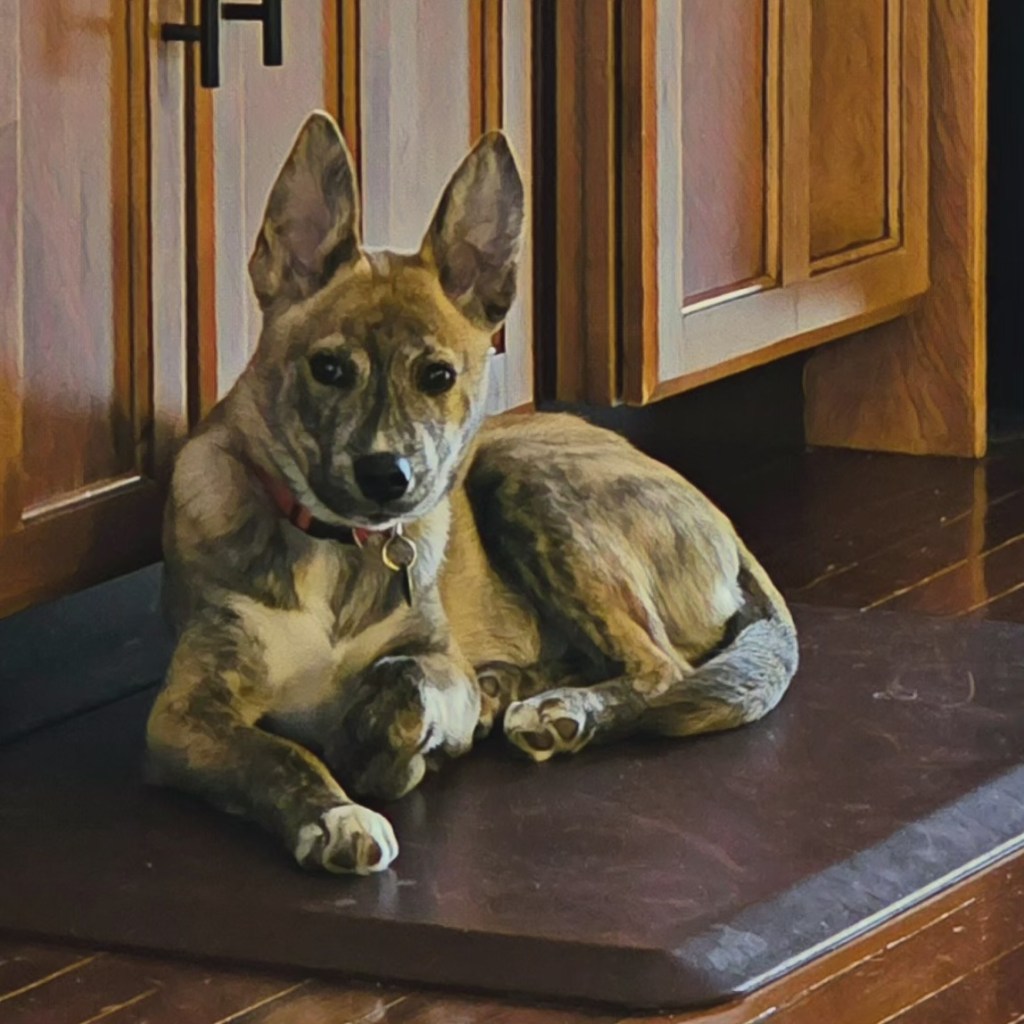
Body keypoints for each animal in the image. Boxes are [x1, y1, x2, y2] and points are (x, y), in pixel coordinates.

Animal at [147, 112, 798, 875]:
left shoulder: (434, 660)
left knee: (661, 667)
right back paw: (515, 696)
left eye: (438, 375)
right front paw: (333, 813)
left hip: (524, 479)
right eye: (328, 368)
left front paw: (383, 743)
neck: (338, 551)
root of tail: (725, 526)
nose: (388, 476)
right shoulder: (186, 713)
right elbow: (278, 756)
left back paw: (557, 711)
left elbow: (408, 679)